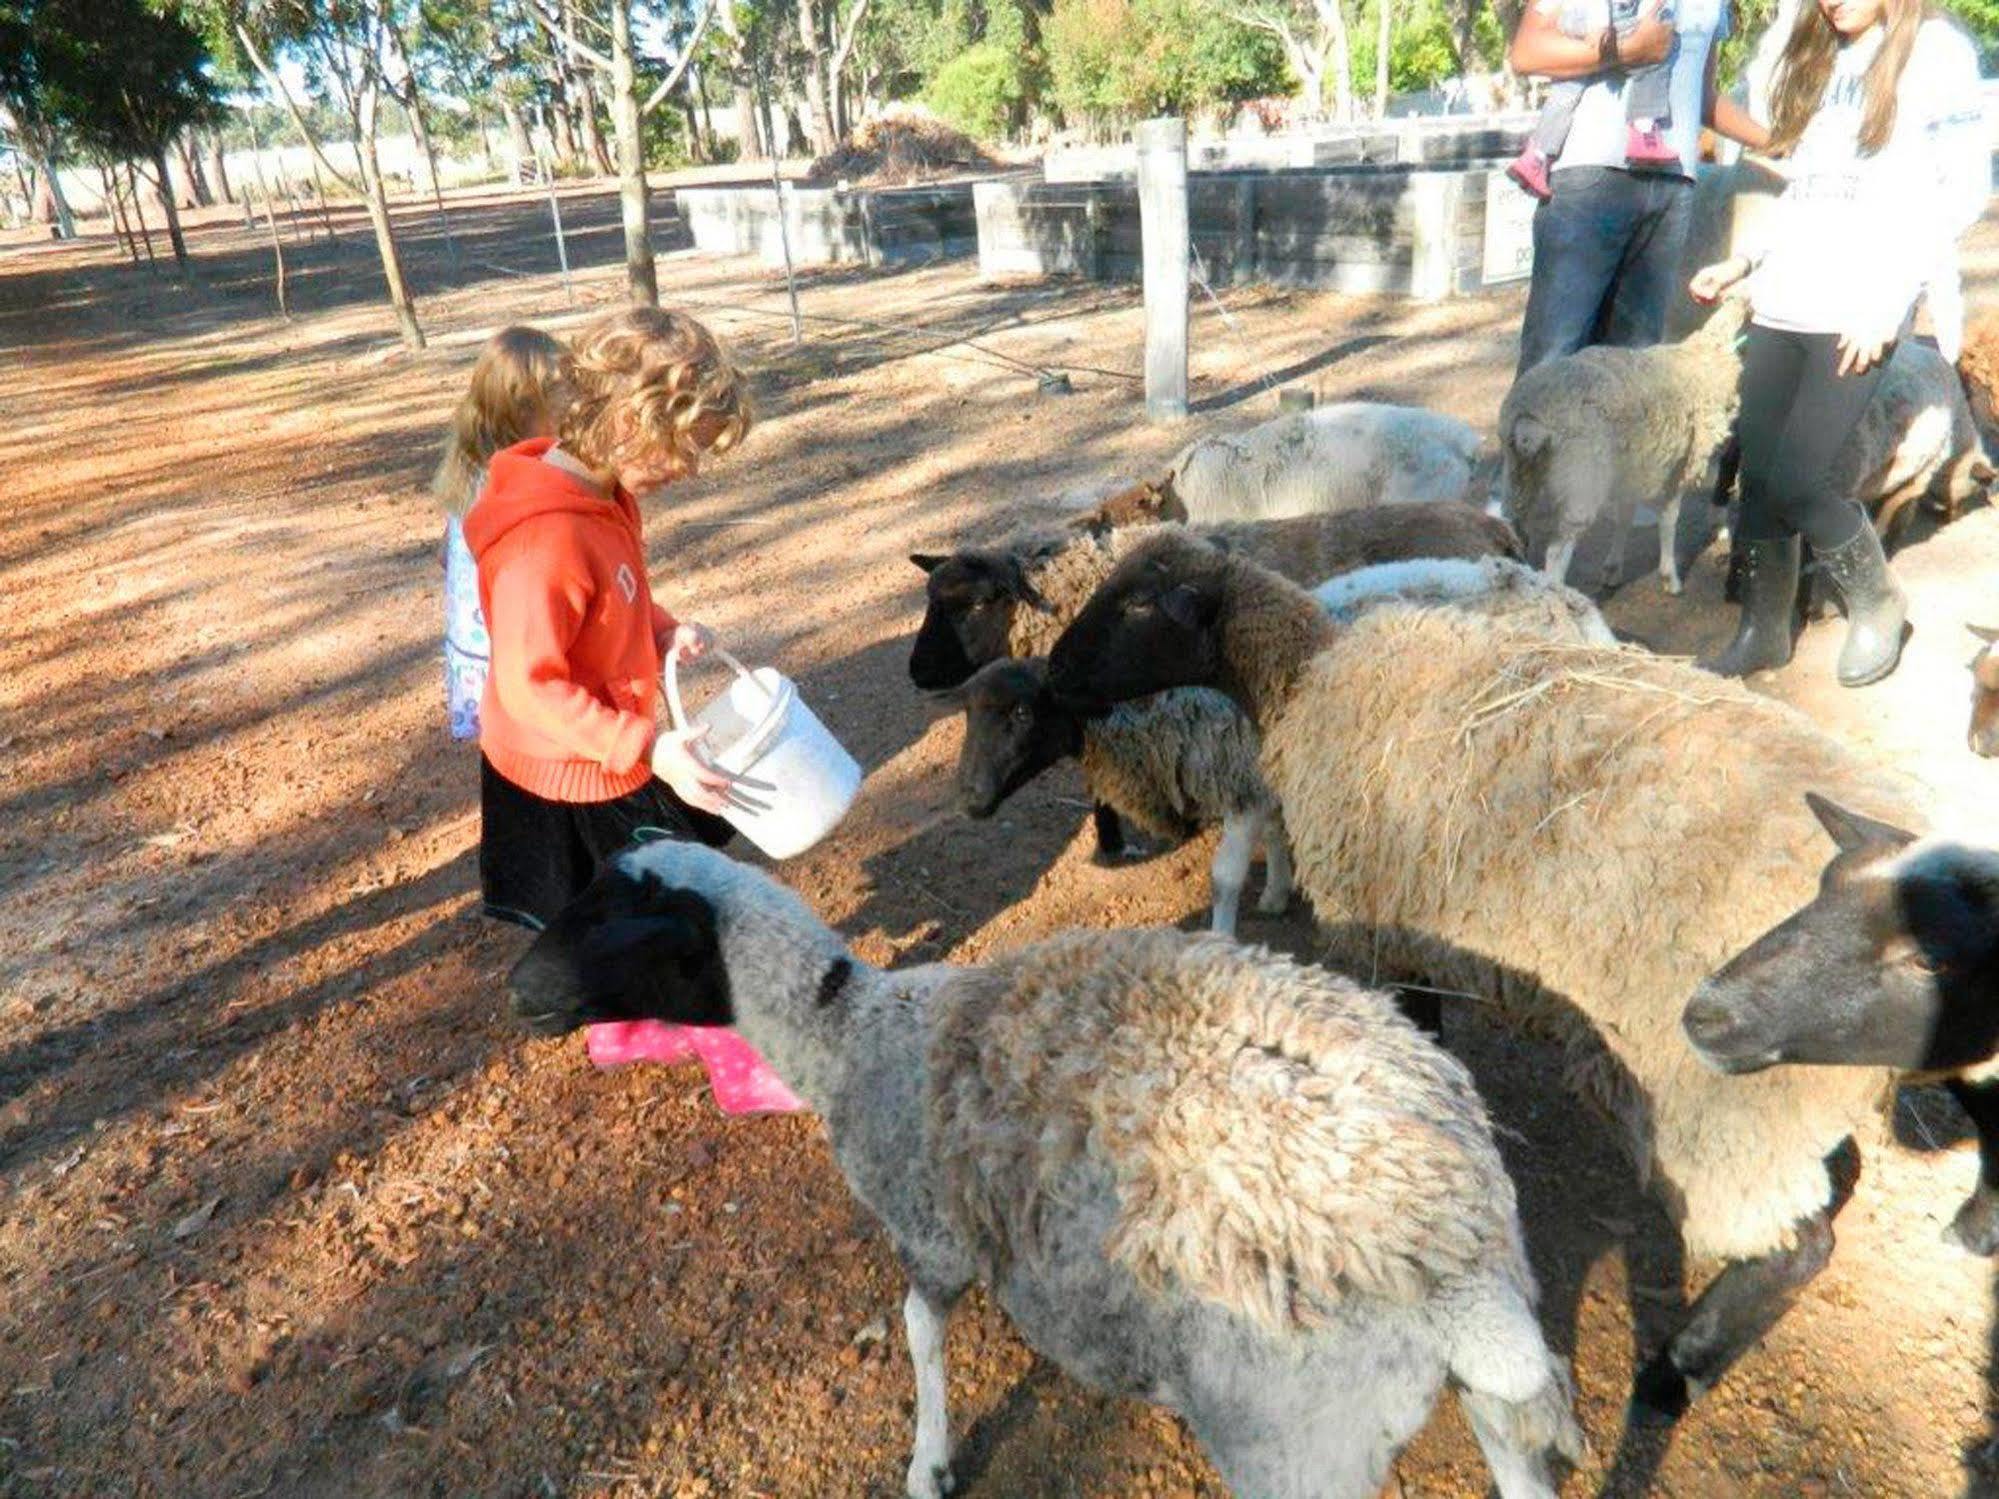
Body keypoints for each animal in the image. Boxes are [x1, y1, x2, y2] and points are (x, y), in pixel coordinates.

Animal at [507, 847, 1583, 1499]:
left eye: (611, 915)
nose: (518, 994)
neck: (849, 1030)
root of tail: (1439, 1234)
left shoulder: (928, 1227)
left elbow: (918, 1333)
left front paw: (928, 1462)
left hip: (1295, 1436)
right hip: (1483, 1383)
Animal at [1047, 535, 1935, 1423]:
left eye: (1136, 605)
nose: (1052, 672)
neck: (1305, 674)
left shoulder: (1382, 929)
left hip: (1718, 1097)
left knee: (1794, 1247)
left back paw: (1668, 1376)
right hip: (1789, 1091)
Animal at [1503, 293, 1751, 599]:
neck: (1702, 357)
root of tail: (1531, 420)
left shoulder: (1634, 464)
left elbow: (1626, 514)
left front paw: (1613, 568)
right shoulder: (1680, 465)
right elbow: (1669, 518)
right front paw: (1670, 577)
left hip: (1519, 474)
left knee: (1513, 525)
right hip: (1581, 480)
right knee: (1555, 554)